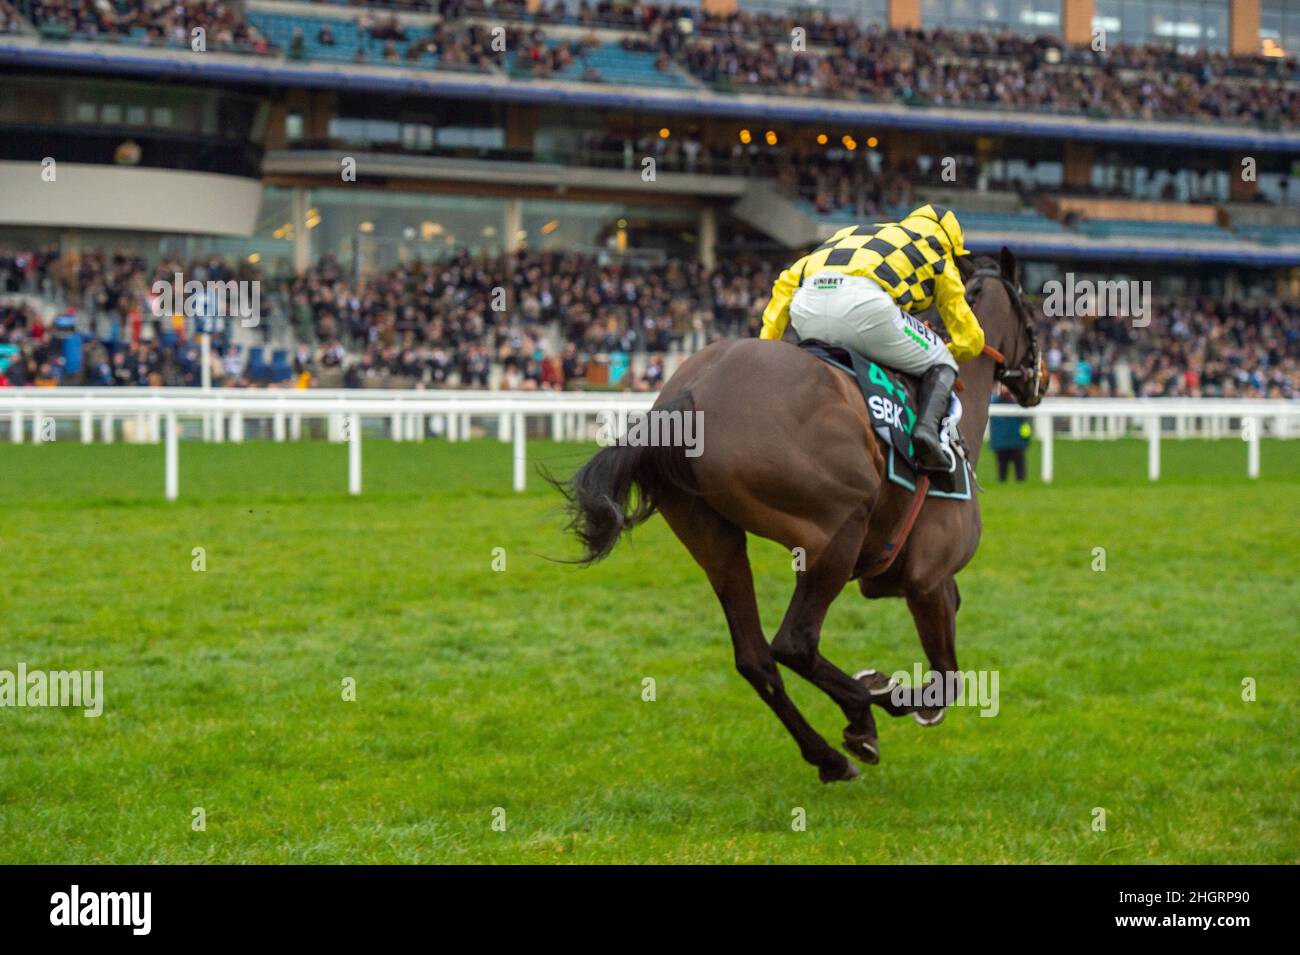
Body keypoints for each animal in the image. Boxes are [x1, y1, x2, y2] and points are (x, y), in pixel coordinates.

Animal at [559, 248, 1045, 784]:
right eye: (1033, 313)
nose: (1040, 380)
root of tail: (687, 396)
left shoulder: (901, 577)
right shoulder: (927, 577)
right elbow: (946, 678)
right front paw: (892, 694)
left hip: (717, 542)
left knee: (755, 658)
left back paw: (828, 756)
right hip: (838, 531)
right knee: (794, 643)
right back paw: (862, 716)